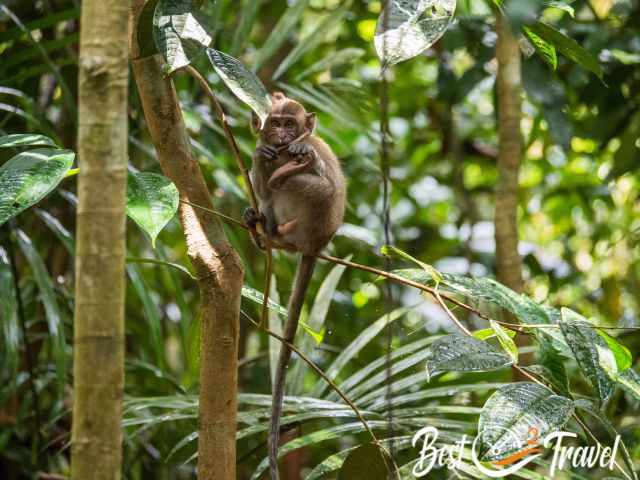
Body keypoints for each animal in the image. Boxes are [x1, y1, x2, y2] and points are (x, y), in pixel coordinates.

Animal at [244, 92, 344, 478]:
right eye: (276, 123)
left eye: (291, 124)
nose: (284, 137)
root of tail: (315, 243)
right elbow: (258, 173)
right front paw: (262, 154)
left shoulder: (309, 145)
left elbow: (316, 161)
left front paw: (300, 155)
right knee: (267, 197)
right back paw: (263, 231)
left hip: (318, 218)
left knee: (308, 185)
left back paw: (286, 179)